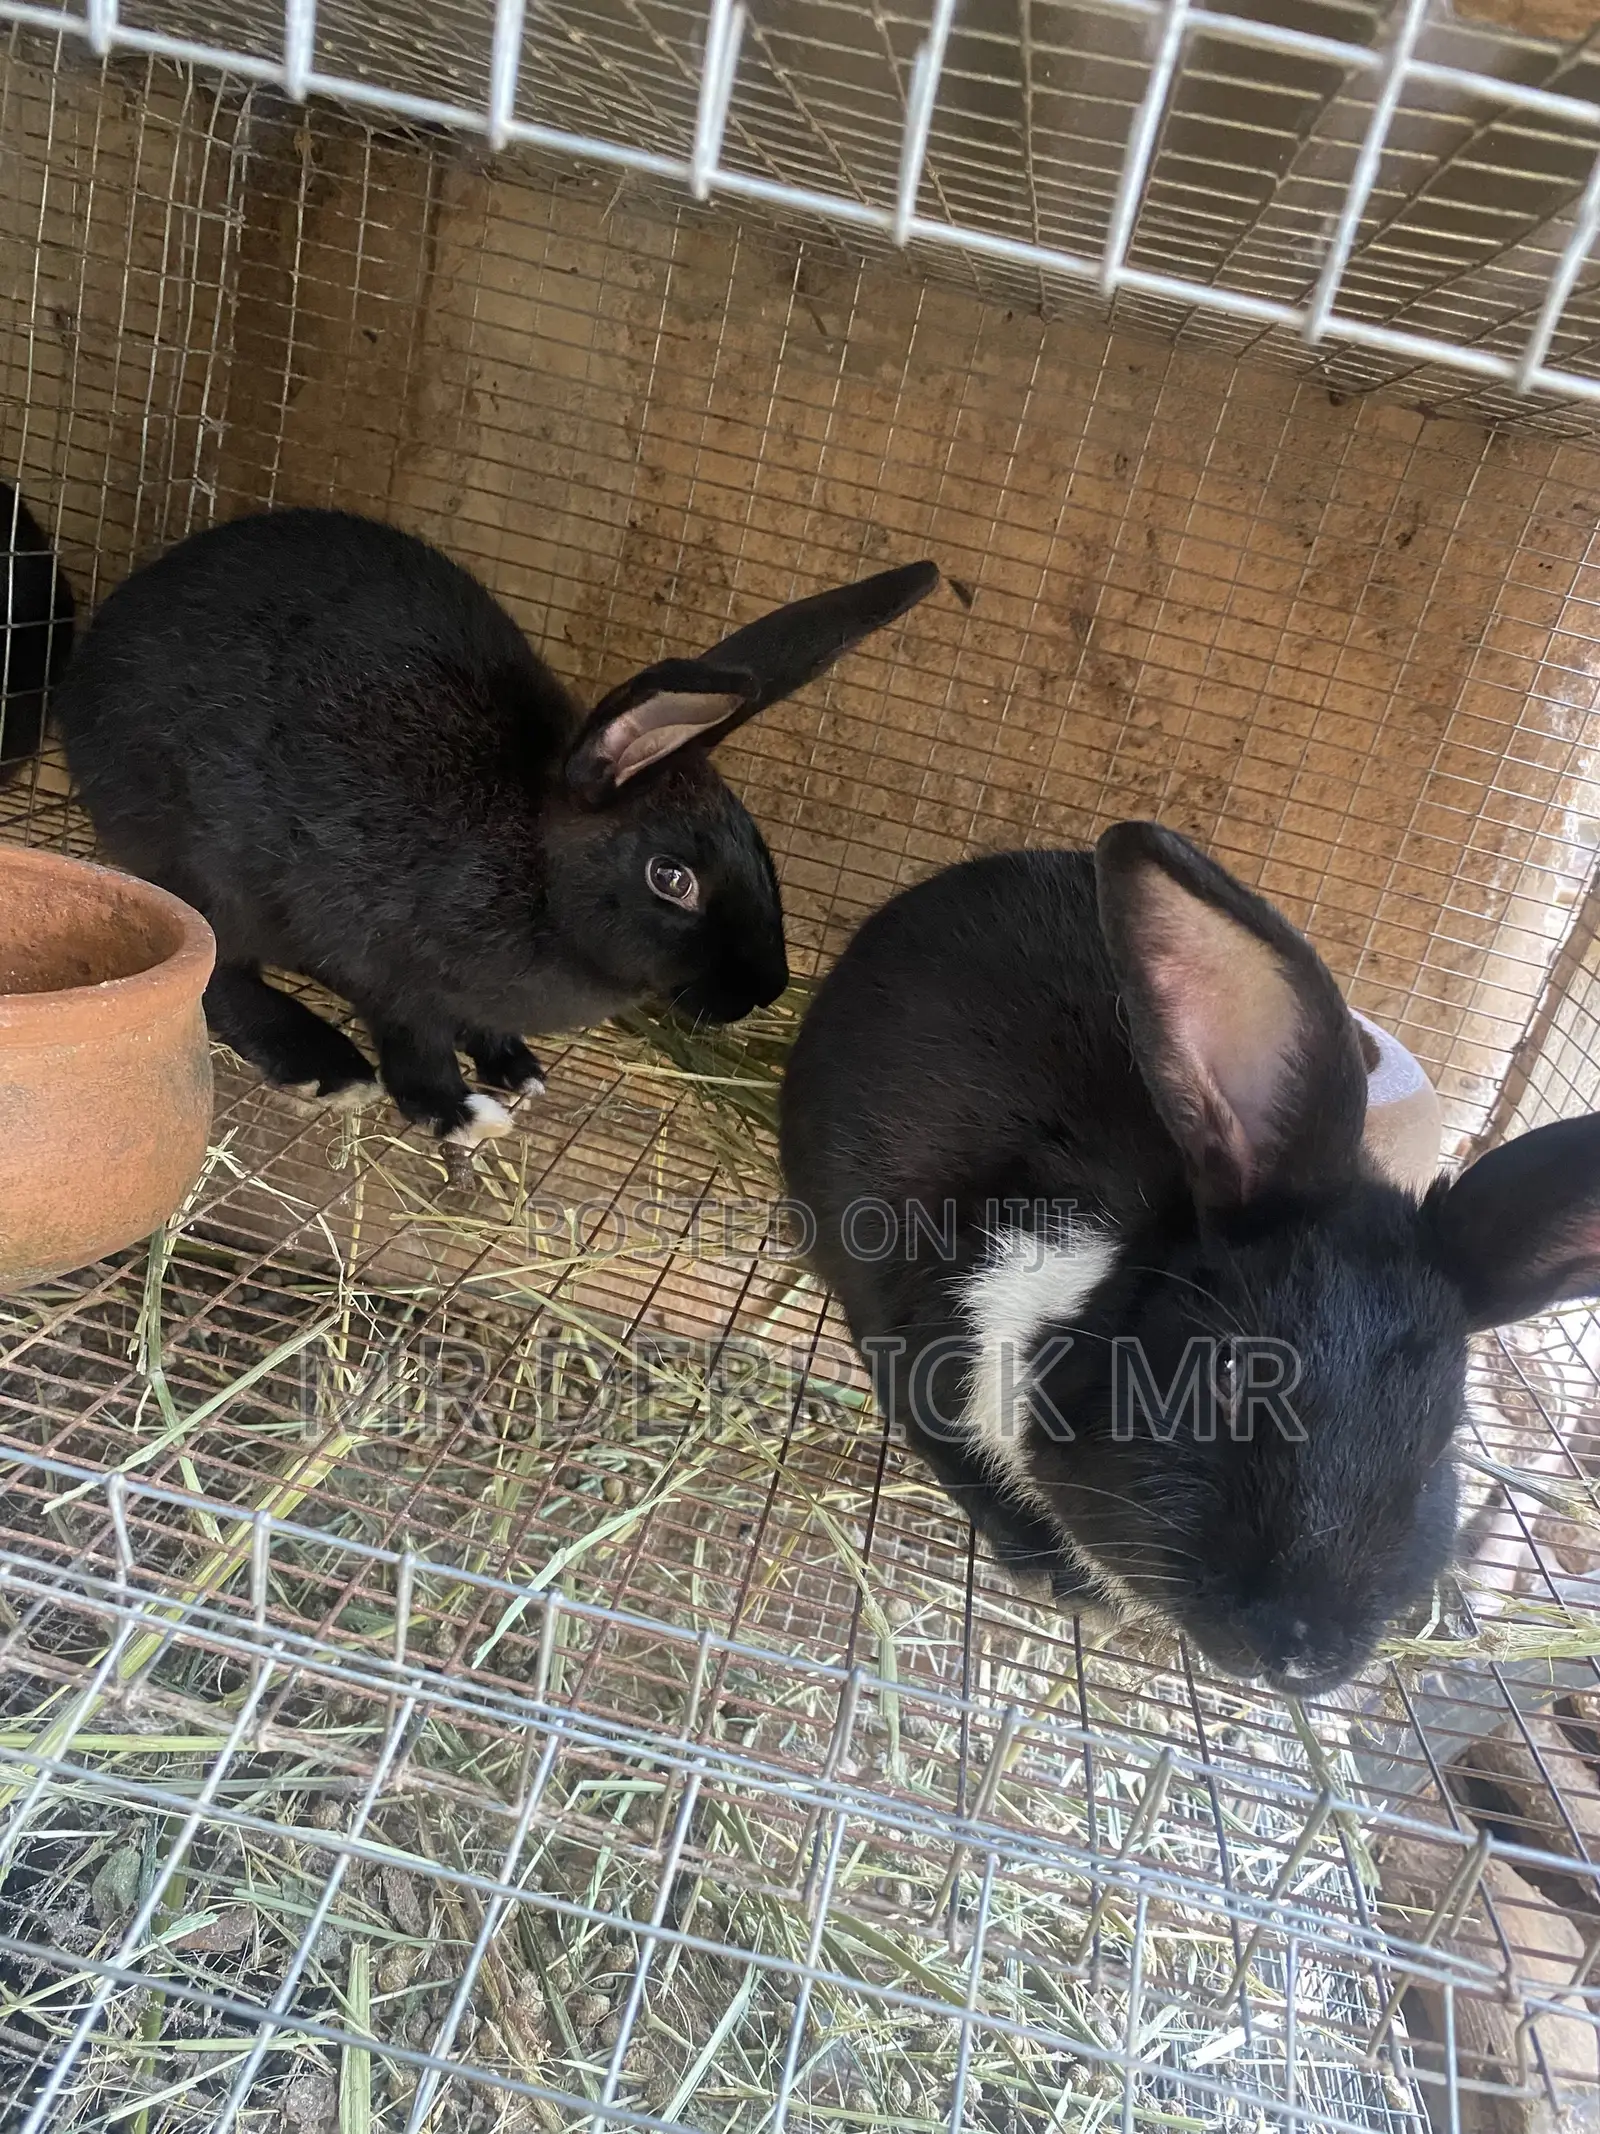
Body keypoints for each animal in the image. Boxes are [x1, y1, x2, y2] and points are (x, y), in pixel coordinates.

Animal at [57, 507, 938, 1145]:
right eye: (671, 877)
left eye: (762, 851)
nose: (765, 991)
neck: (533, 868)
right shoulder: (391, 968)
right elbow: (415, 1044)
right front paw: (459, 1115)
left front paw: (517, 1069)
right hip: (202, 868)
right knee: (222, 973)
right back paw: (325, 1064)